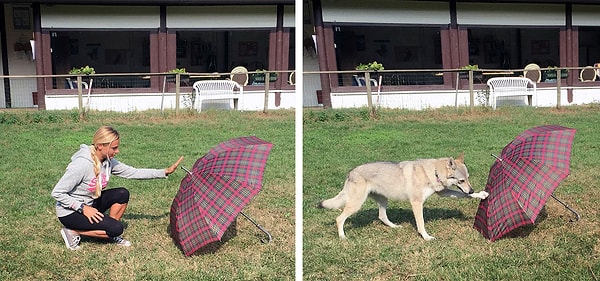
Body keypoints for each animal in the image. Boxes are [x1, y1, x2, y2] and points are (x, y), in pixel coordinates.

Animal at [318, 152, 488, 240]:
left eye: (468, 178)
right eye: (461, 180)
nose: (471, 190)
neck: (433, 172)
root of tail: (350, 173)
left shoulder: (444, 192)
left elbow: (463, 195)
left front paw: (481, 194)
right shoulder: (417, 203)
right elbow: (421, 224)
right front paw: (426, 237)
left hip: (383, 200)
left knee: (382, 217)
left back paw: (395, 227)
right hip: (356, 204)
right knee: (339, 218)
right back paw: (342, 237)